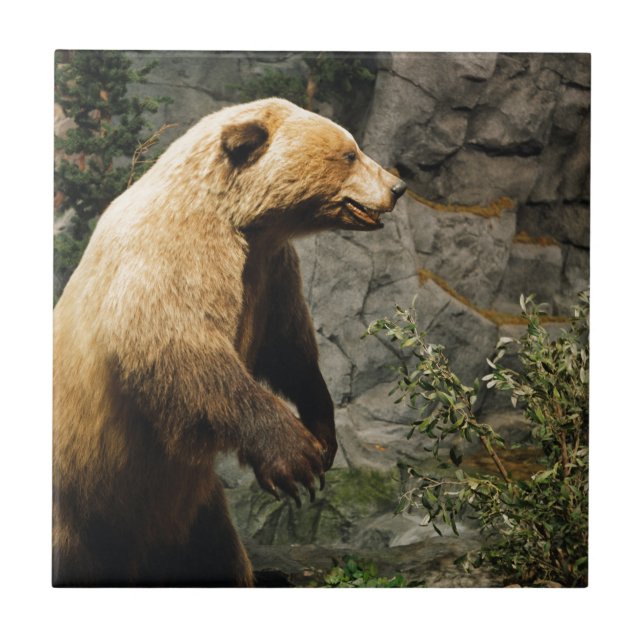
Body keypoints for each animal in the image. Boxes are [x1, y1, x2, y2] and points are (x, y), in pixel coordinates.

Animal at [53, 97, 407, 586]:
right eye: (349, 153)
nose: (398, 186)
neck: (242, 221)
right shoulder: (175, 254)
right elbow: (180, 347)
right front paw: (296, 458)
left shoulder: (271, 271)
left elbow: (289, 347)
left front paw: (322, 431)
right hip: (78, 506)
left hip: (191, 513)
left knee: (215, 557)